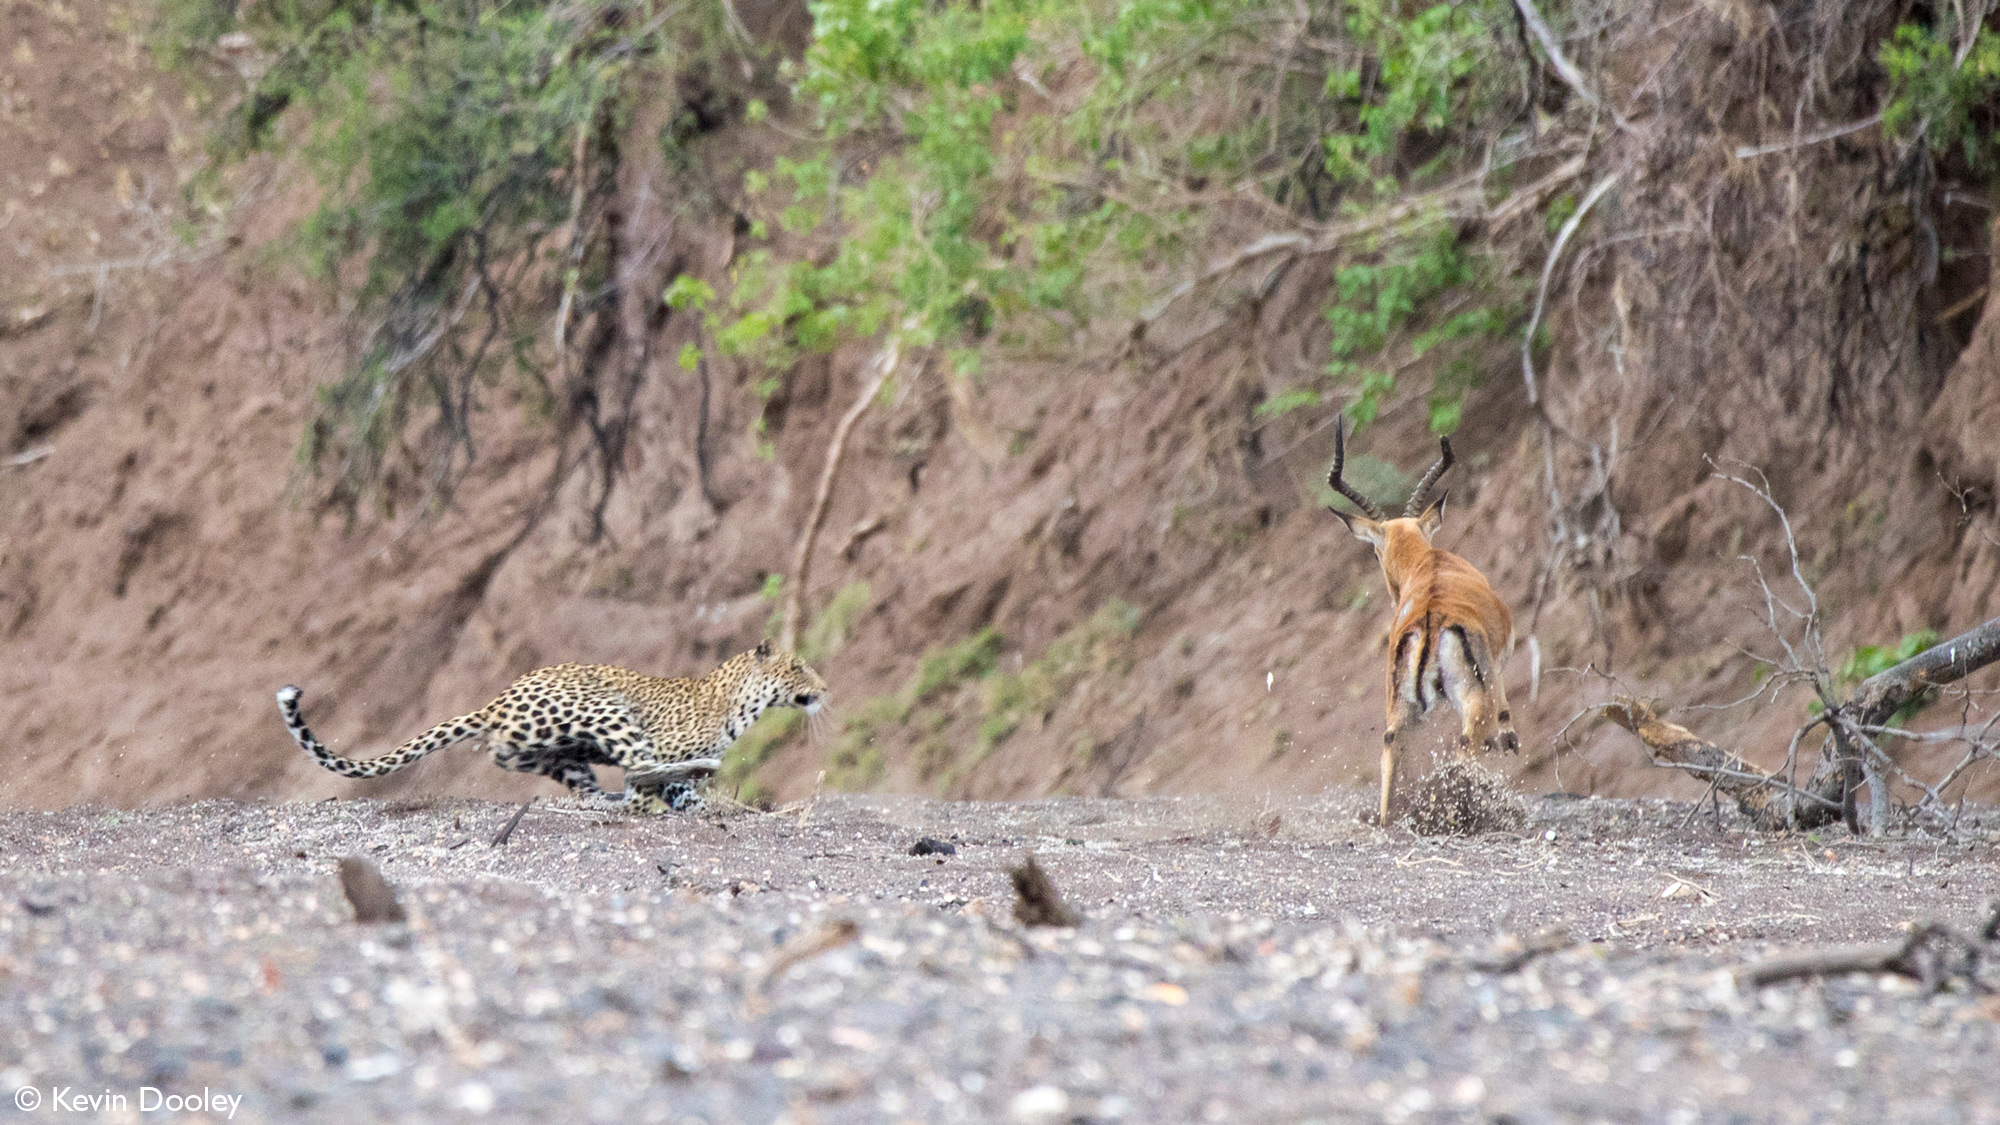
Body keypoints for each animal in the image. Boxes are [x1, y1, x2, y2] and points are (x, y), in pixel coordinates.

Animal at [278, 640, 824, 804]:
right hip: (602, 705)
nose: (824, 688)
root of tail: (499, 699)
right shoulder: (666, 744)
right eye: (799, 667)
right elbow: (655, 778)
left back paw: (602, 799)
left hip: (553, 755)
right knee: (637, 767)